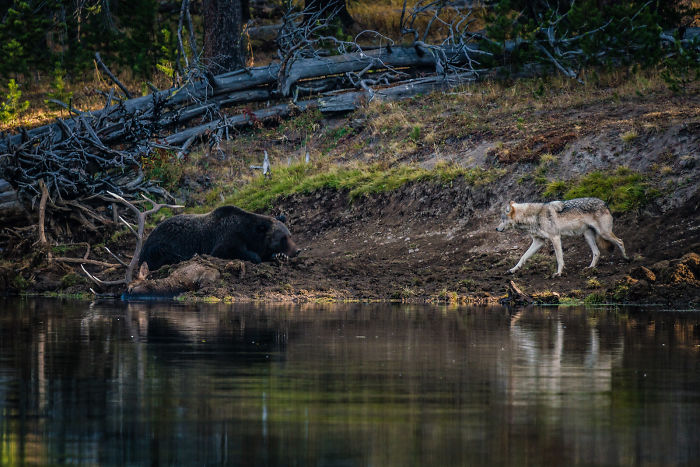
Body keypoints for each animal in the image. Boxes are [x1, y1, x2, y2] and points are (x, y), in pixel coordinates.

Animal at [138, 205, 301, 270]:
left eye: (290, 235)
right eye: (283, 238)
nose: (297, 250)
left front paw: (279, 255)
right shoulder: (227, 237)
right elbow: (228, 250)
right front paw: (255, 256)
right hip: (160, 245)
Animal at [496, 197, 628, 277]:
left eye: (502, 219)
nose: (496, 229)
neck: (534, 216)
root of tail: (605, 203)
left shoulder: (555, 238)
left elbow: (559, 259)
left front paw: (558, 273)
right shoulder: (539, 241)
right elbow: (523, 257)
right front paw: (513, 269)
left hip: (604, 233)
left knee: (620, 241)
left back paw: (626, 258)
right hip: (588, 236)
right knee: (597, 252)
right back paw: (590, 268)